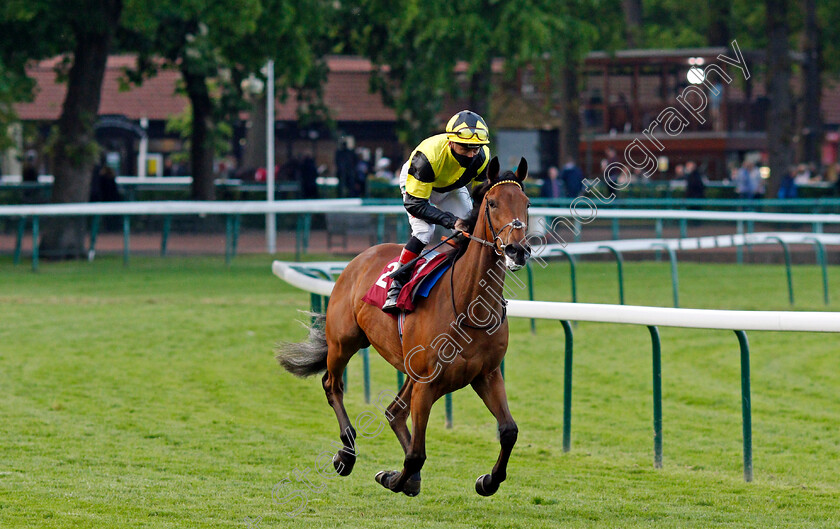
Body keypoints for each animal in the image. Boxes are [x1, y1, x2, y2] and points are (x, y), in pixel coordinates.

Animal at [278, 156, 532, 496]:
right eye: (491, 203)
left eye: (527, 204)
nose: (518, 250)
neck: (469, 307)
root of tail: (360, 258)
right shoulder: (427, 383)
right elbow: (416, 455)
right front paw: (393, 478)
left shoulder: (487, 375)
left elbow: (508, 431)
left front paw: (488, 480)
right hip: (344, 342)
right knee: (333, 385)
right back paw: (346, 454)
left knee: (393, 411)